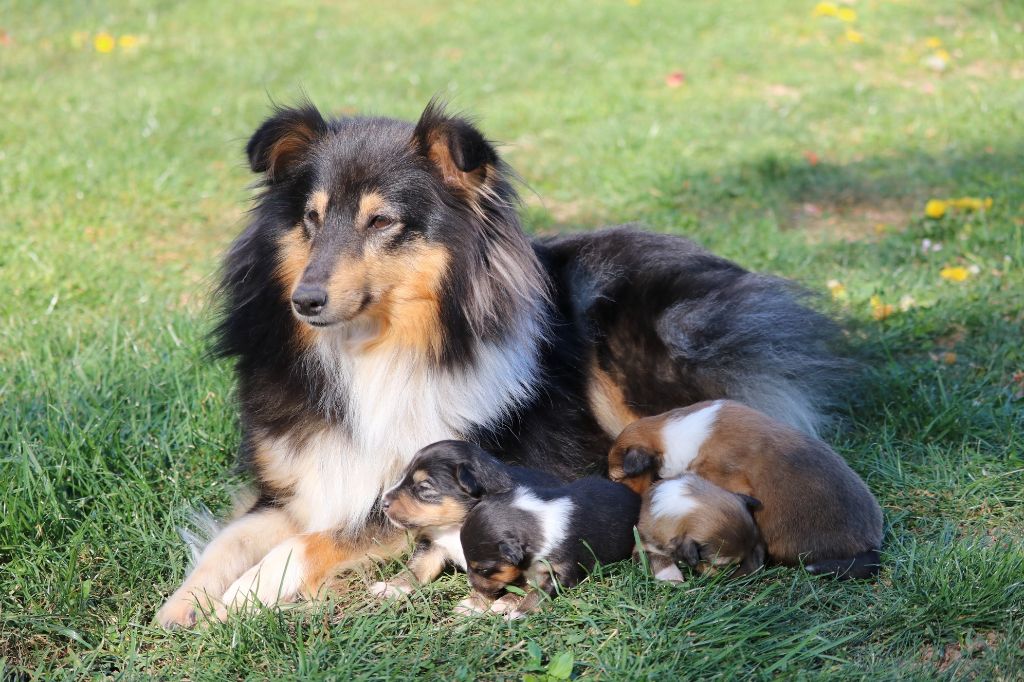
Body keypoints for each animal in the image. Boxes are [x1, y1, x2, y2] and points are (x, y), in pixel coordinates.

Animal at [372, 440, 561, 593]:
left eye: (424, 487)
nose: (383, 503)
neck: (455, 527)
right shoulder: (434, 543)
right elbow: (417, 567)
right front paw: (390, 588)